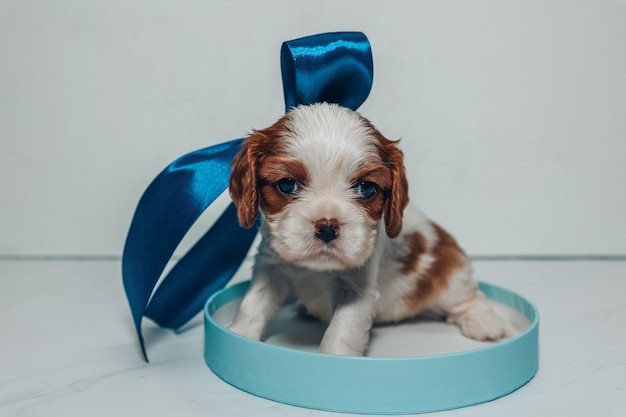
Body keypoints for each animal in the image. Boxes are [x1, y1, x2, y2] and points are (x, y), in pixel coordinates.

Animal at [227, 101, 516, 354]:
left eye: (366, 188)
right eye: (287, 184)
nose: (327, 226)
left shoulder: (357, 289)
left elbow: (340, 332)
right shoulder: (270, 267)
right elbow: (254, 304)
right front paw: (239, 337)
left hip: (450, 276)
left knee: (470, 299)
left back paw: (483, 322)